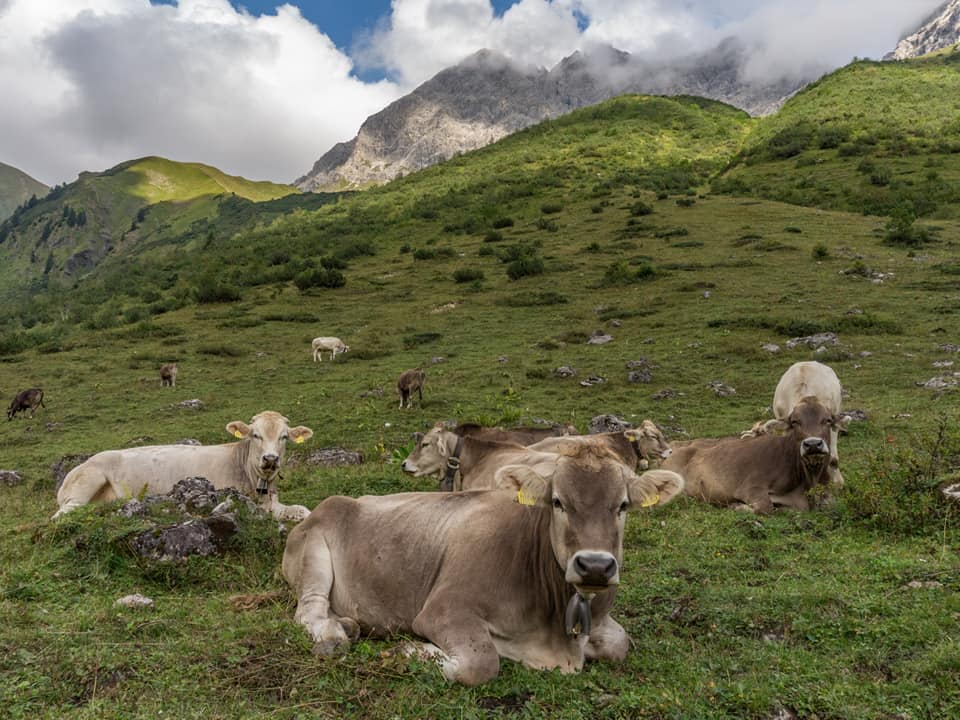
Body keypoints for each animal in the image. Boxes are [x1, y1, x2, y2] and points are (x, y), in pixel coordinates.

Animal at [664, 394, 844, 512]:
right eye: (795, 422)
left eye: (828, 420)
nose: (813, 444)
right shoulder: (751, 486)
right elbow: (765, 507)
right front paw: (737, 506)